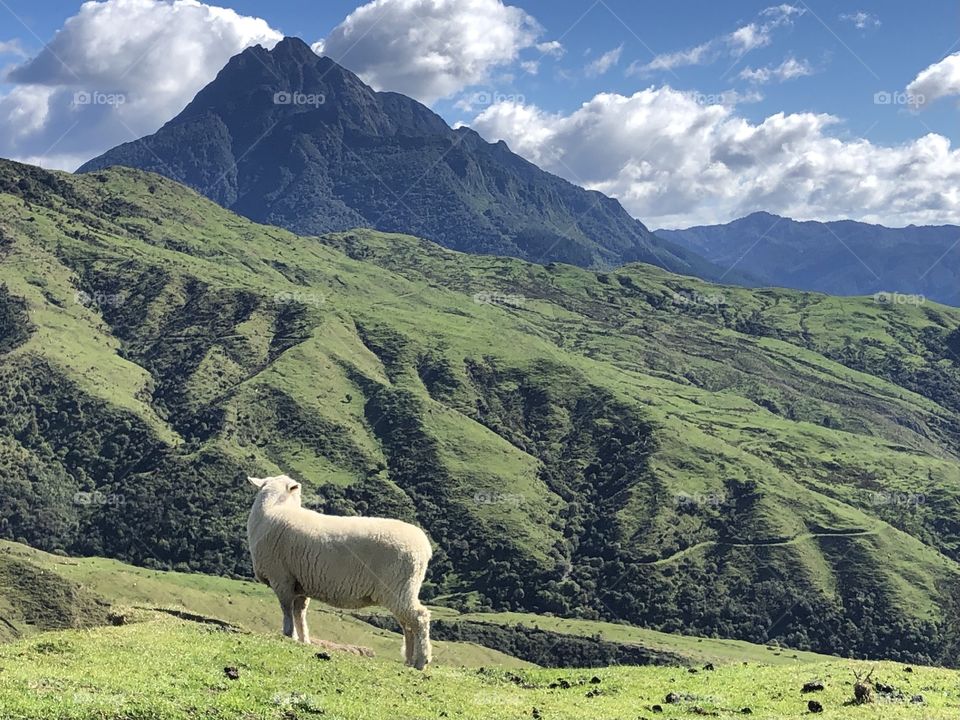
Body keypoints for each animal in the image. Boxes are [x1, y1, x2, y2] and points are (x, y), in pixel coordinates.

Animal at [246, 474, 433, 669]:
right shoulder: (300, 583)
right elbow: (300, 613)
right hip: (403, 588)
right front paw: (304, 640)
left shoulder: (281, 578)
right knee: (407, 623)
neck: (273, 509)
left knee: (419, 618)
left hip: (398, 585)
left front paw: (289, 635)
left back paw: (421, 661)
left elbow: (287, 610)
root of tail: (425, 548)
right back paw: (409, 660)